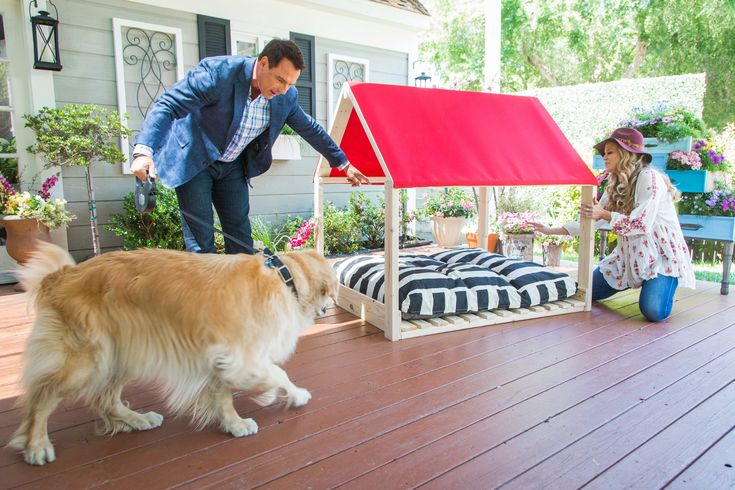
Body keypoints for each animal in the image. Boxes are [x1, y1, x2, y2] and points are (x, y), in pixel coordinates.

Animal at [8, 243, 340, 466]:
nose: (329, 308)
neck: (285, 277)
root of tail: (62, 274)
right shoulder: (241, 358)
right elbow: (277, 374)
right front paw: (296, 395)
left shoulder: (219, 357)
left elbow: (223, 396)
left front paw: (234, 424)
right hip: (85, 360)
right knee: (42, 398)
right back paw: (36, 445)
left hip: (123, 353)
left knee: (106, 399)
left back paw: (138, 419)